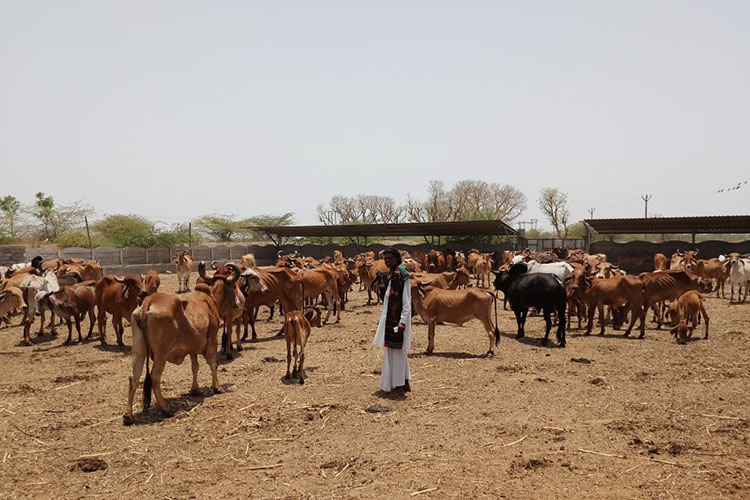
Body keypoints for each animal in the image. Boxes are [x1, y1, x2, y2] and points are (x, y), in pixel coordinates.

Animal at [123, 290, 223, 424]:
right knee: (154, 376)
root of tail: (150, 300)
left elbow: (195, 367)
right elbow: (213, 364)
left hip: (139, 350)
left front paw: (195, 389)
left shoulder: (192, 348)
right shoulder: (212, 339)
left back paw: (128, 415)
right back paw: (166, 408)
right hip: (161, 353)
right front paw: (217, 387)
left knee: (134, 377)